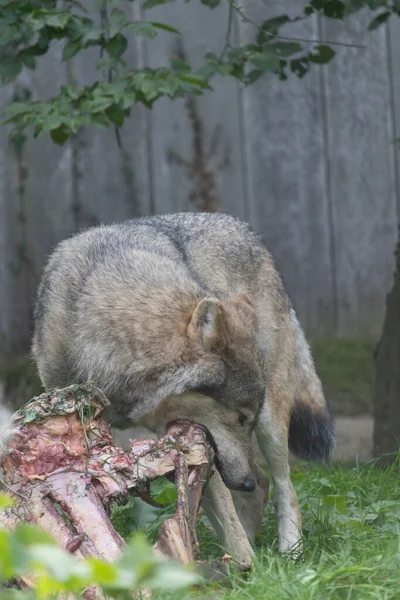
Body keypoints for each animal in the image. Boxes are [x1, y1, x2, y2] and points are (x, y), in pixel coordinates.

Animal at [32, 212, 334, 564]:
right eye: (240, 418)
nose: (243, 482)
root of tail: (243, 228)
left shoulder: (201, 445)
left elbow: (227, 515)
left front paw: (246, 566)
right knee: (262, 485)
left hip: (271, 426)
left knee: (285, 488)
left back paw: (290, 552)